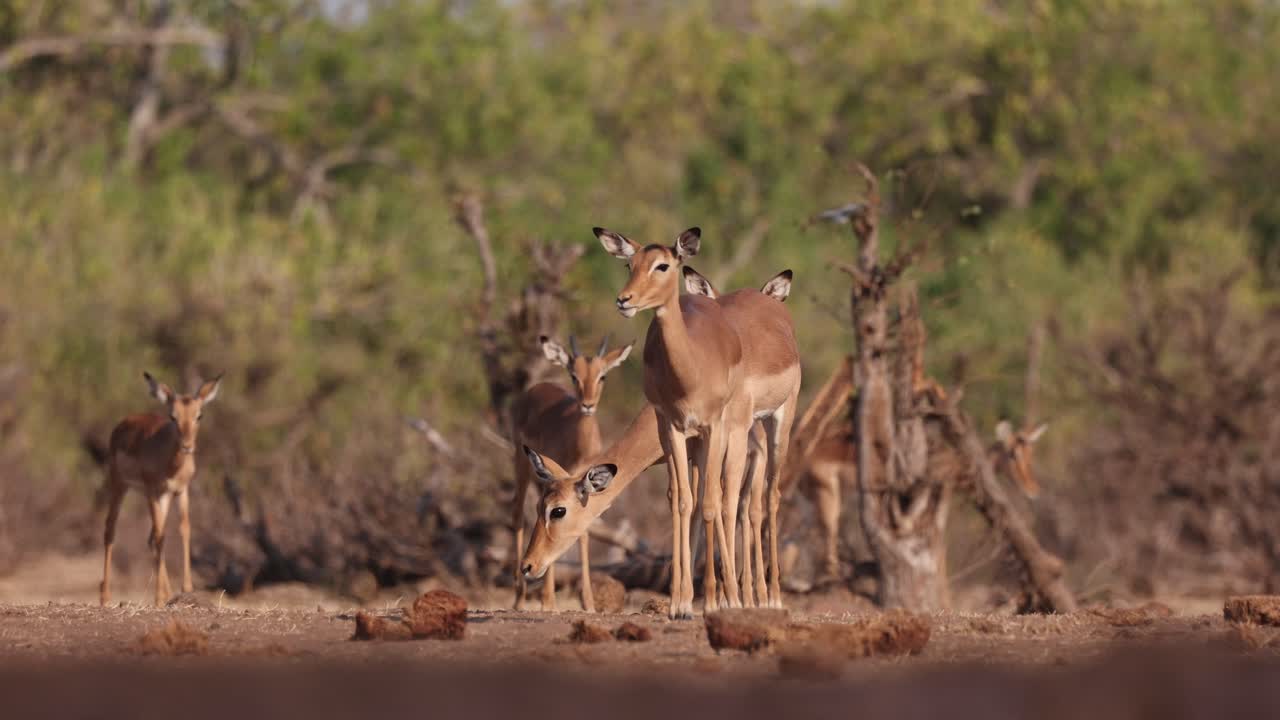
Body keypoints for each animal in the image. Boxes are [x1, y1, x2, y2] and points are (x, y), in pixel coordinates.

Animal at [100, 371, 221, 606]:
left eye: (199, 415)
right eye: (173, 416)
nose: (187, 446)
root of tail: (125, 422)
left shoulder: (181, 490)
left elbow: (183, 529)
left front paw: (186, 589)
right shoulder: (151, 490)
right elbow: (160, 535)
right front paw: (159, 597)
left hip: (163, 497)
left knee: (153, 537)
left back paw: (167, 594)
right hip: (120, 485)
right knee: (111, 529)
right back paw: (105, 597)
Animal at [511, 334, 632, 612]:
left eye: (602, 376)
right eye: (573, 375)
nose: (587, 404)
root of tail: (537, 387)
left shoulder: (583, 488)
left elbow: (582, 531)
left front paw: (588, 602)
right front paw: (548, 602)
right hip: (522, 467)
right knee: (518, 515)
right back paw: (520, 598)